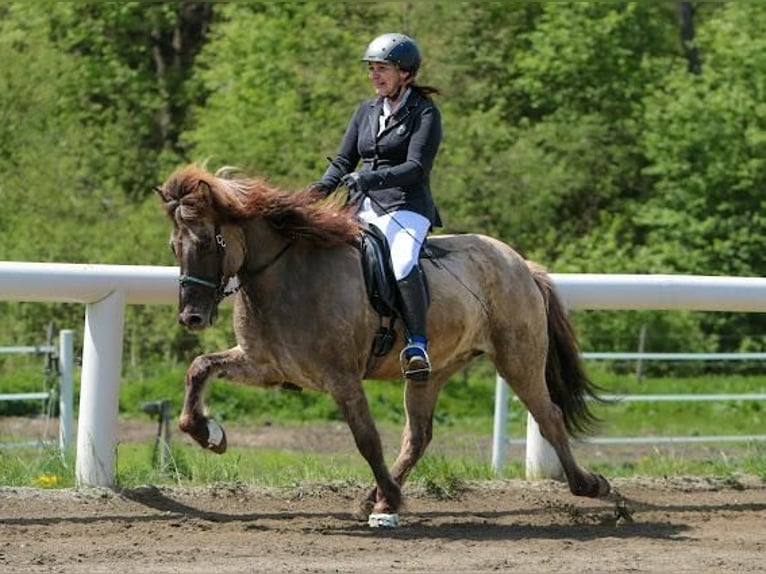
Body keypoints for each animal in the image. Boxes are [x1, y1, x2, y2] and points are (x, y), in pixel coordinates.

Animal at [155, 164, 611, 526]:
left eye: (208, 242)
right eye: (174, 247)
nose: (191, 317)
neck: (287, 274)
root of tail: (520, 263)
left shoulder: (342, 378)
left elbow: (366, 438)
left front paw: (390, 496)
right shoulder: (264, 365)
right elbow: (199, 368)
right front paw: (210, 434)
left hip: (518, 359)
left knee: (549, 416)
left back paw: (590, 485)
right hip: (431, 371)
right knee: (418, 435)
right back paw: (376, 499)